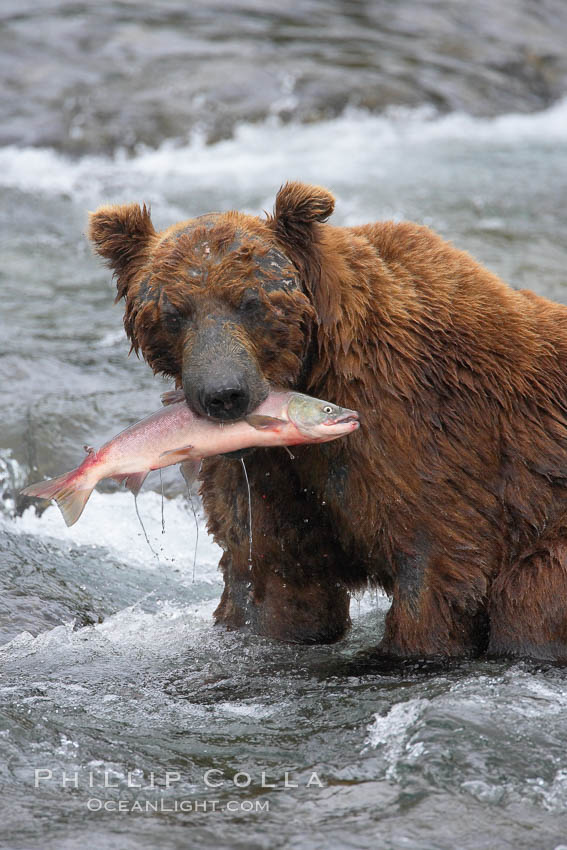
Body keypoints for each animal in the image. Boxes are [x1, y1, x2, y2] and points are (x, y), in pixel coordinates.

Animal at [89, 181, 567, 664]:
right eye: (173, 313)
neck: (313, 367)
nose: (224, 395)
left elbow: (435, 560)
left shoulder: (415, 429)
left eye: (250, 303)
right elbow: (273, 579)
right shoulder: (263, 474)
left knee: (531, 595)